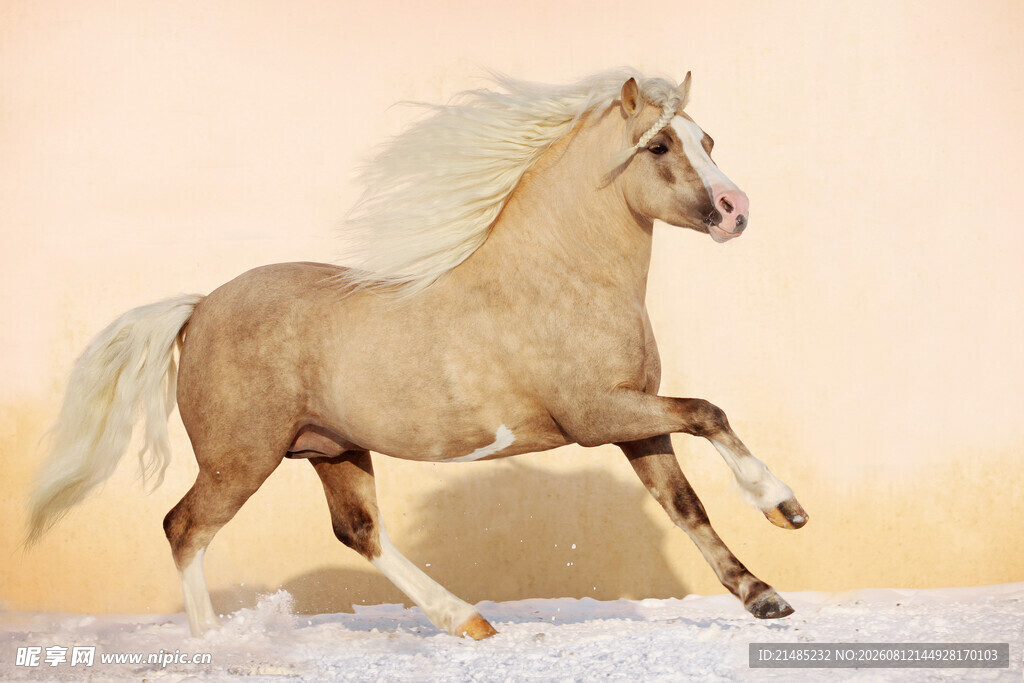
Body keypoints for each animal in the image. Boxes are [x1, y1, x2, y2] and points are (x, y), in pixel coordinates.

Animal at [27, 69, 807, 640]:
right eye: (659, 147)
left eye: (708, 138)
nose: (737, 210)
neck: (561, 277)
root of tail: (199, 308)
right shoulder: (599, 415)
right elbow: (708, 411)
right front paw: (783, 505)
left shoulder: (634, 420)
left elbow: (686, 503)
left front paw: (765, 595)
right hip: (238, 459)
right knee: (185, 528)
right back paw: (213, 643)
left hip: (333, 449)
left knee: (359, 530)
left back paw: (467, 621)